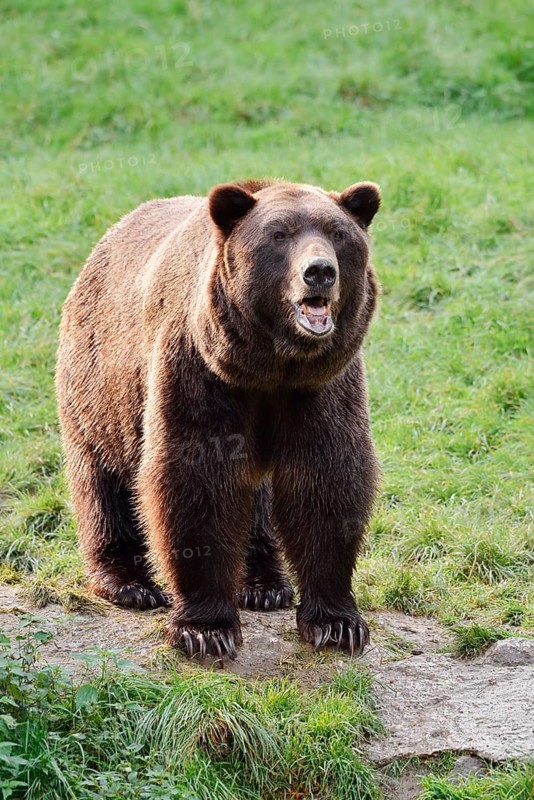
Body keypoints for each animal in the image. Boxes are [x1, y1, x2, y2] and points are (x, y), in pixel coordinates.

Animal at [56, 178, 381, 660]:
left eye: (338, 234)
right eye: (279, 235)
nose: (320, 271)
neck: (271, 366)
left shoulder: (321, 385)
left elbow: (328, 477)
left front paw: (337, 623)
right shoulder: (197, 369)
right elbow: (196, 480)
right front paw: (206, 630)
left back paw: (265, 584)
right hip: (99, 388)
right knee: (101, 477)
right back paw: (128, 583)